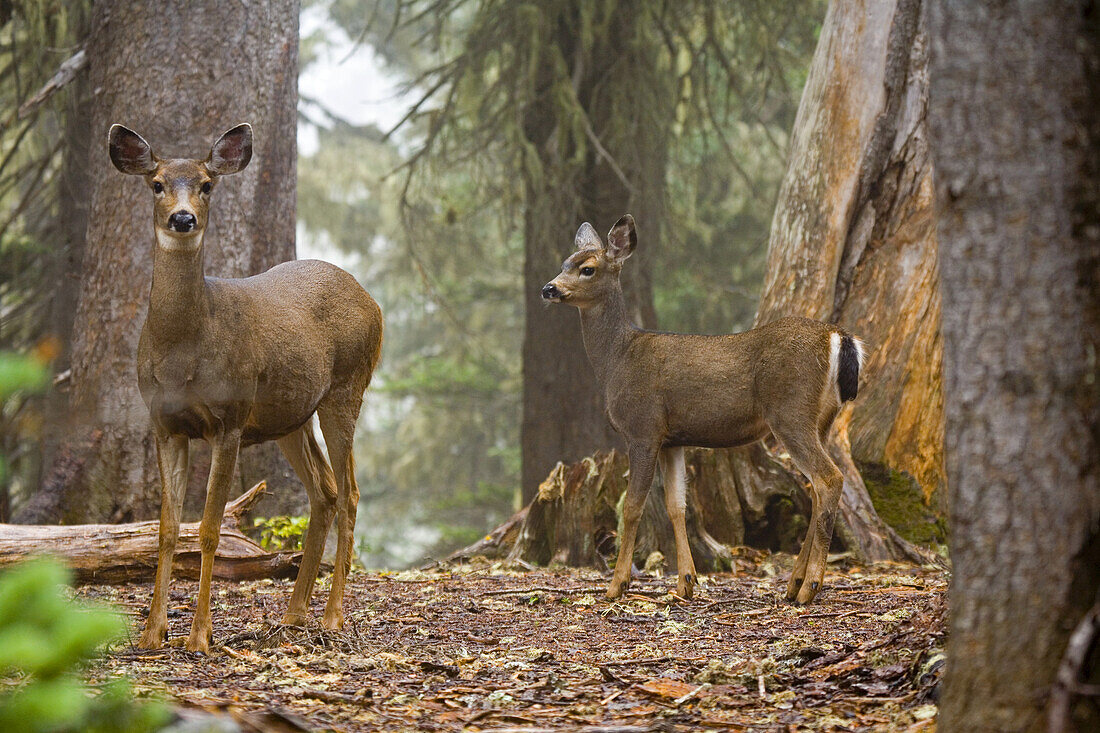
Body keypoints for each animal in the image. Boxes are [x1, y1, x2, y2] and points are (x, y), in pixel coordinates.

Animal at [107, 121, 382, 651]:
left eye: (207, 184)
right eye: (156, 184)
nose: (183, 218)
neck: (183, 350)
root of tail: (373, 301)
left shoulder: (229, 419)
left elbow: (210, 529)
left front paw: (199, 635)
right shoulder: (163, 423)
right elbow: (167, 529)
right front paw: (152, 633)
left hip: (346, 388)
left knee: (352, 492)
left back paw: (332, 616)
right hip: (289, 415)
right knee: (325, 490)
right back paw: (293, 614)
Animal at [545, 214, 862, 603]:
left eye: (587, 268)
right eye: (564, 264)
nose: (549, 288)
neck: (617, 359)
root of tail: (839, 337)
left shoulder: (643, 427)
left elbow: (632, 507)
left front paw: (617, 585)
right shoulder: (672, 440)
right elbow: (676, 506)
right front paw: (686, 582)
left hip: (791, 413)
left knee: (829, 478)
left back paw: (809, 588)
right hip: (823, 419)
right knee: (818, 487)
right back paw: (793, 584)